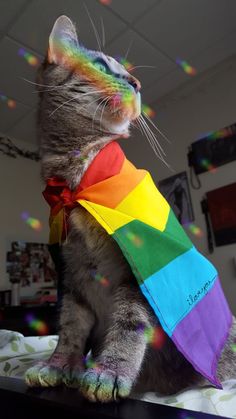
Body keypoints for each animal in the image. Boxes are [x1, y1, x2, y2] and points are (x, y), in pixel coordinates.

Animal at [24, 15, 235, 404]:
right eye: (102, 65)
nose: (137, 83)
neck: (81, 184)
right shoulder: (74, 276)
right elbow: (70, 328)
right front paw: (58, 366)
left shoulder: (137, 271)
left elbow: (129, 325)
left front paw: (109, 372)